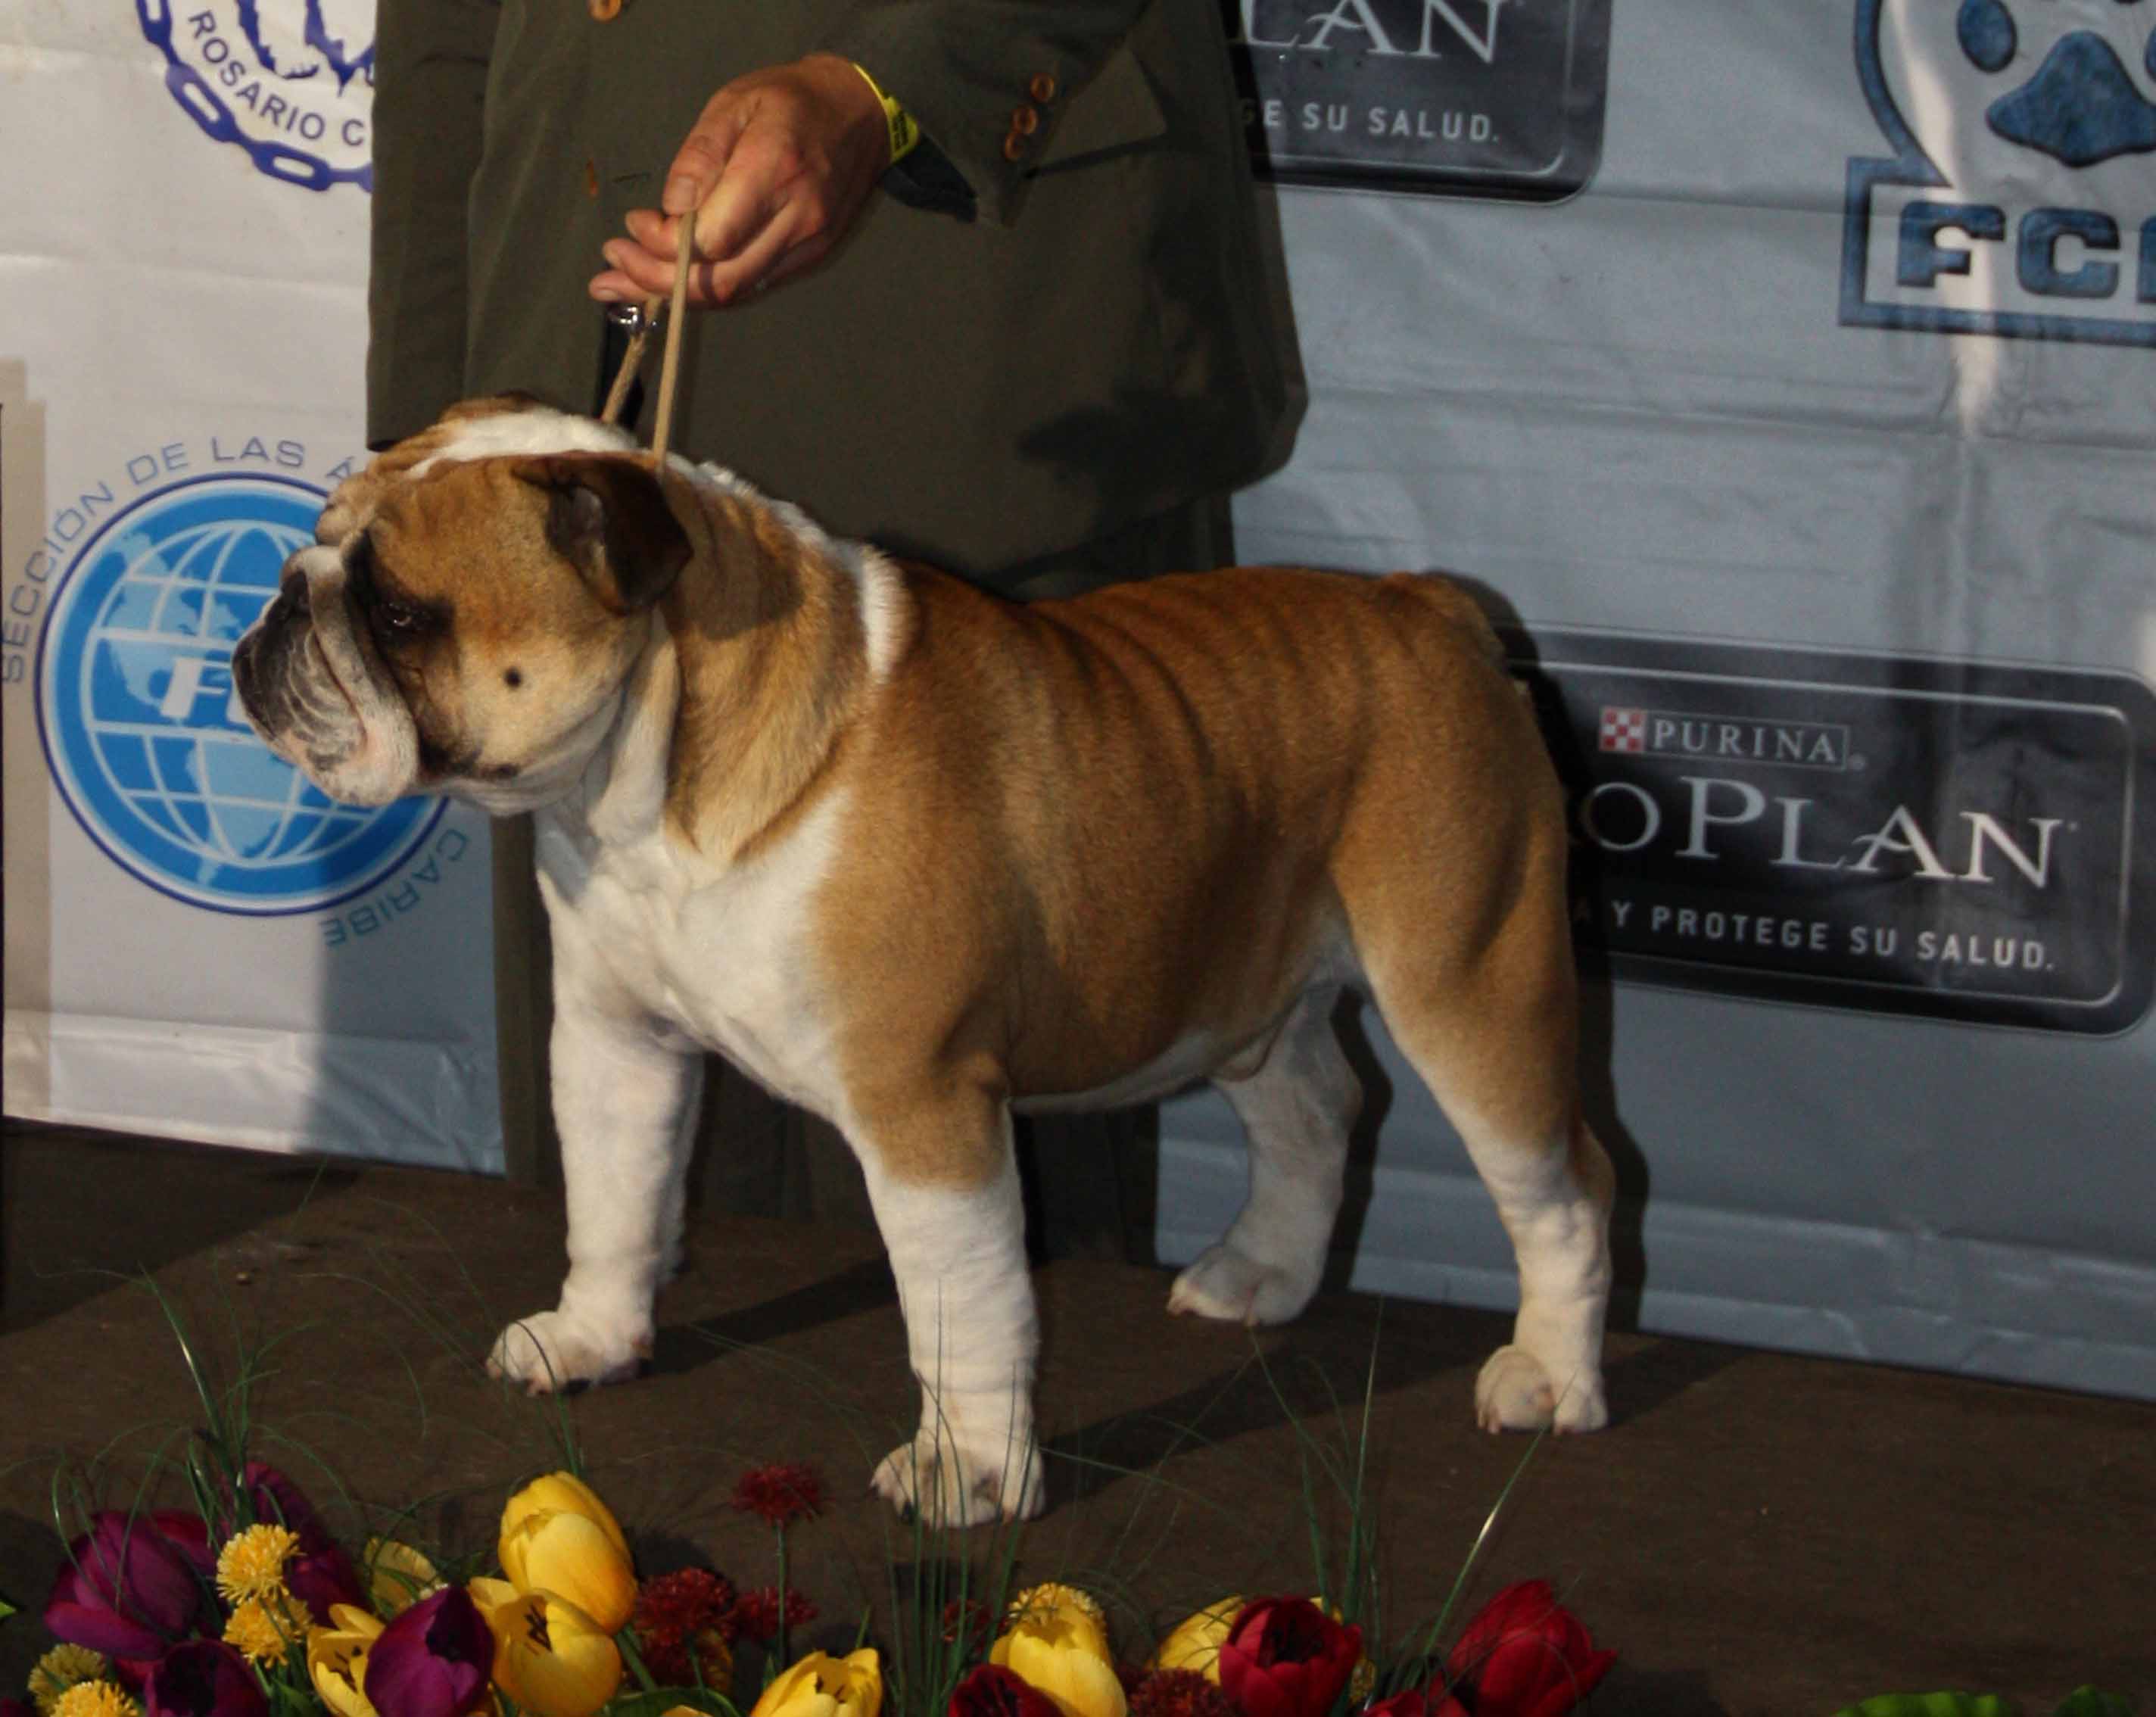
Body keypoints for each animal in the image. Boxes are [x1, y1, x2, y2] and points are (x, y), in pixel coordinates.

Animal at [233, 396, 1615, 1525]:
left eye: (400, 614)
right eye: (314, 549)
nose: (281, 605)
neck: (651, 781)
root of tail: (1428, 605)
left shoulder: (922, 1108)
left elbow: (963, 1302)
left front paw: (972, 1473)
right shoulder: (618, 1045)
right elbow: (617, 1203)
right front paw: (594, 1337)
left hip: (1471, 986)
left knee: (1565, 1185)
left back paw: (1551, 1374)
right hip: (1240, 984)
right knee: (1318, 1108)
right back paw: (1262, 1275)